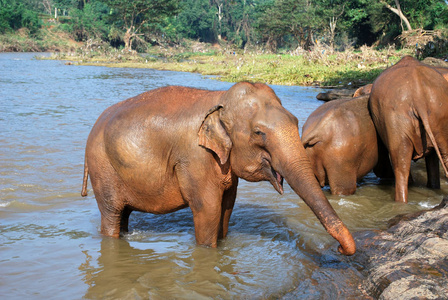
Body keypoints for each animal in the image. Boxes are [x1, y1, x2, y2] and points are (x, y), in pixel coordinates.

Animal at [79, 82, 354, 255]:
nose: (340, 249)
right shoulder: (195, 157)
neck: (219, 99)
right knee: (112, 214)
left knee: (123, 214)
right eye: (259, 133)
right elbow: (208, 209)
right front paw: (208, 254)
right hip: (102, 167)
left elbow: (226, 207)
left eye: (296, 121)